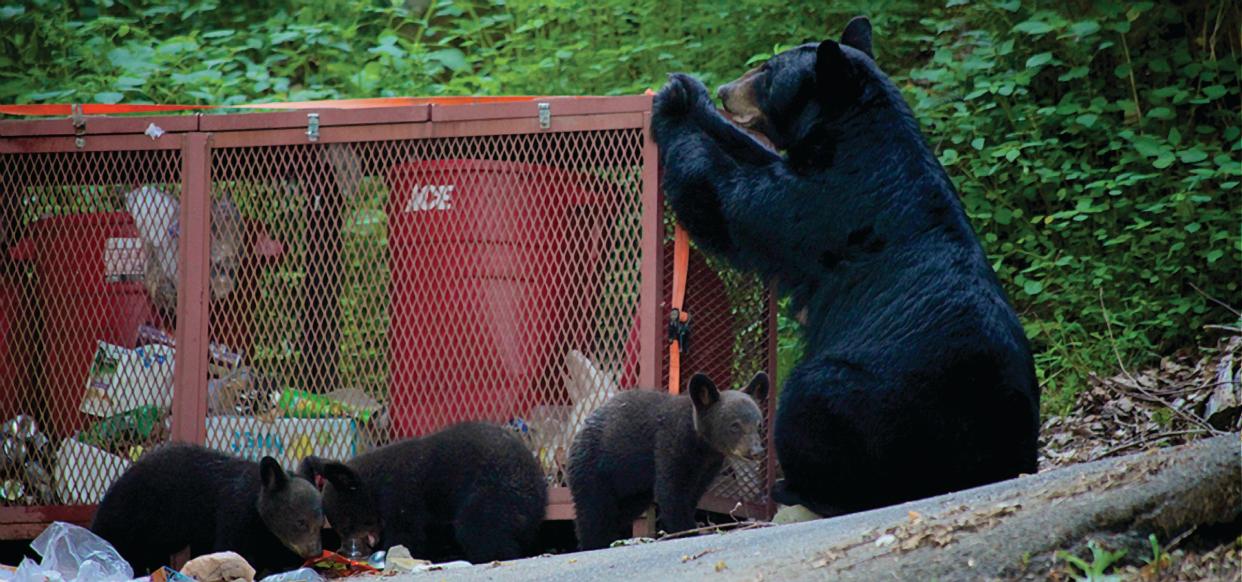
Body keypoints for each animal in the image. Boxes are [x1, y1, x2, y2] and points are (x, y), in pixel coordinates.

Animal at [93, 441, 325, 573]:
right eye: (301, 522)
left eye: (321, 524)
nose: (315, 551)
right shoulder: (234, 511)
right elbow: (231, 547)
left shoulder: (263, 532)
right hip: (132, 515)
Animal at [298, 421, 546, 563]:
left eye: (347, 525)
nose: (345, 550)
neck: (375, 489)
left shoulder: (402, 496)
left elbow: (406, 534)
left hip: (493, 492)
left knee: (479, 528)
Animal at [568, 372, 765, 548]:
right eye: (735, 425)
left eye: (758, 425)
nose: (756, 451)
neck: (701, 445)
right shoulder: (670, 445)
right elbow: (671, 491)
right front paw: (687, 530)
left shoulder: (707, 467)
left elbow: (692, 494)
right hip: (594, 468)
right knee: (593, 512)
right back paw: (593, 543)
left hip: (633, 488)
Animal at [650, 13, 1038, 513]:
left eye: (768, 71)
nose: (725, 90)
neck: (855, 134)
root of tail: (1002, 459)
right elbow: (751, 155)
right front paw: (690, 92)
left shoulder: (833, 202)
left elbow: (733, 201)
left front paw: (677, 104)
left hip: (876, 406)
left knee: (811, 402)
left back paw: (795, 486)